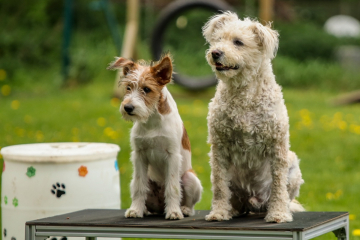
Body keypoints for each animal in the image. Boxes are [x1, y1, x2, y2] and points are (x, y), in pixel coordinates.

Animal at [107, 54, 202, 219]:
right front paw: (135, 210)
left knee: (189, 203)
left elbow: (172, 187)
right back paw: (145, 209)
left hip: (190, 179)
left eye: (146, 89)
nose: (128, 107)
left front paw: (173, 212)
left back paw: (183, 209)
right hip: (136, 181)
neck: (151, 121)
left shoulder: (172, 156)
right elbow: (139, 188)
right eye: (128, 87)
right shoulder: (139, 155)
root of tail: (159, 207)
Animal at [202, 12, 304, 223]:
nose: (215, 52)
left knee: (282, 193)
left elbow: (278, 186)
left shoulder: (277, 146)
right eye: (218, 39)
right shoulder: (219, 148)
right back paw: (231, 210)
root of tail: (251, 201)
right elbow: (220, 186)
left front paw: (278, 214)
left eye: (238, 42)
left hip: (293, 168)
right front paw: (219, 213)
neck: (244, 94)